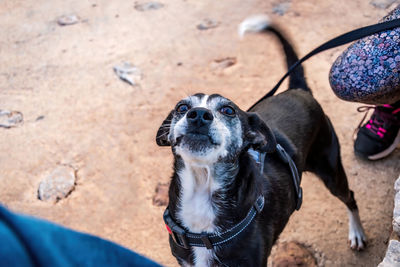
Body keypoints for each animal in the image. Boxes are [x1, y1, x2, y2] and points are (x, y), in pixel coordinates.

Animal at [155, 15, 366, 266]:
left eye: (228, 110)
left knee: (350, 196)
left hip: (331, 170)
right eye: (182, 107)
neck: (201, 190)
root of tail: (298, 89)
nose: (198, 115)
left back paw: (357, 234)